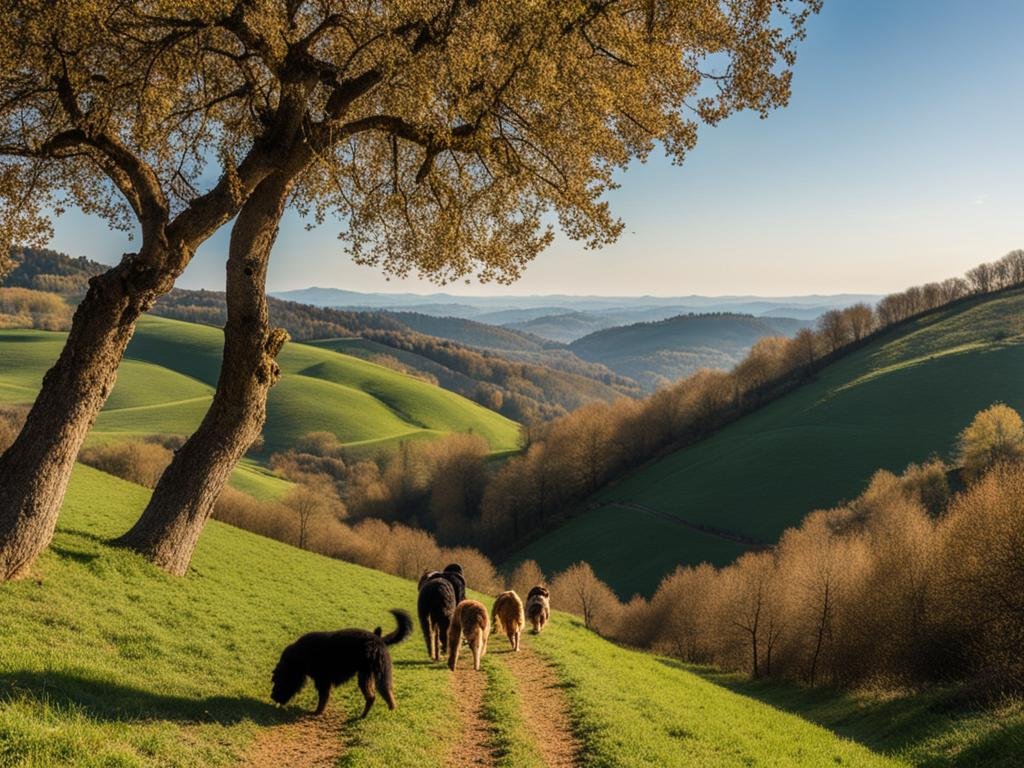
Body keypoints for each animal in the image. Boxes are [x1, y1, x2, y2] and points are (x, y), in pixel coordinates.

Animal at [276, 610, 415, 720]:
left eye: (278, 680)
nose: (273, 697)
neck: (300, 655)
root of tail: (378, 639)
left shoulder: (323, 681)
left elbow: (322, 700)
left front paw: (316, 713)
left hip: (369, 676)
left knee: (373, 697)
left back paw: (363, 716)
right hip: (374, 676)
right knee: (385, 695)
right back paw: (384, 712)